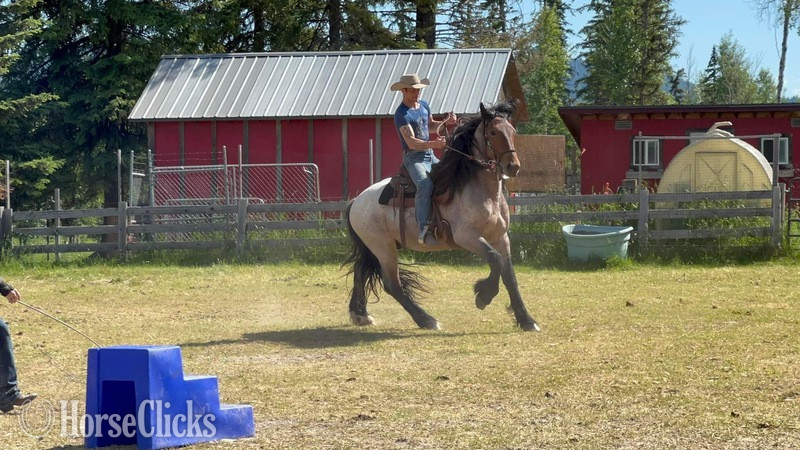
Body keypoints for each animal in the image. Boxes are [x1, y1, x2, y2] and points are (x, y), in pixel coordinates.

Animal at [343, 99, 540, 332]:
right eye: (493, 132)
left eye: (512, 131)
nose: (513, 166)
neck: (481, 191)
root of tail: (356, 201)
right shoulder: (467, 237)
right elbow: (495, 259)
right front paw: (483, 296)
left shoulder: (501, 237)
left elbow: (510, 277)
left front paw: (527, 320)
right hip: (383, 247)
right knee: (392, 285)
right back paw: (426, 319)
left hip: (377, 247)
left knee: (360, 269)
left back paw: (360, 314)